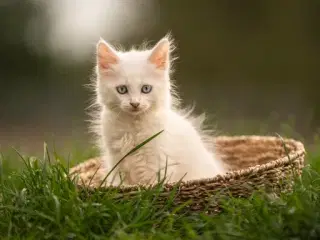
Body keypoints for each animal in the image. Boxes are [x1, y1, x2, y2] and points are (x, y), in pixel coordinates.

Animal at [89, 35, 225, 186]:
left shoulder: (160, 162)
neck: (134, 128)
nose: (135, 104)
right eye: (122, 89)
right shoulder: (117, 163)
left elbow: (155, 184)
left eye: (146, 89)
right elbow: (121, 184)